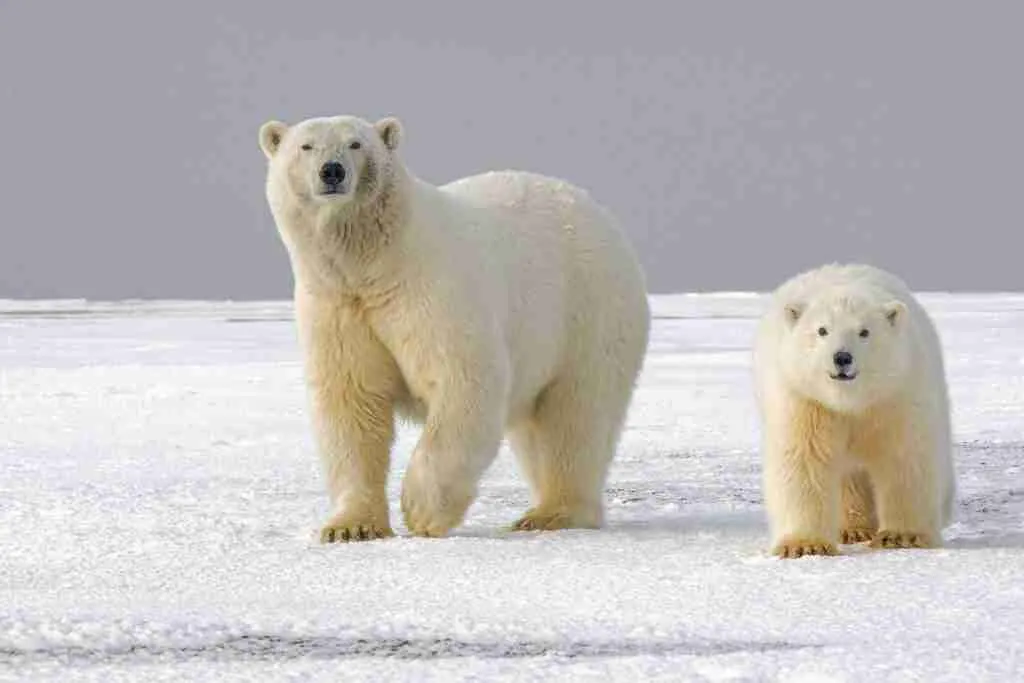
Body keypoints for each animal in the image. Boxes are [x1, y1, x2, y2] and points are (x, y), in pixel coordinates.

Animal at [258, 114, 650, 542]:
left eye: (356, 144)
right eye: (306, 146)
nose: (332, 171)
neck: (376, 264)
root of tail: (596, 209)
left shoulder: (431, 292)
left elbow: (463, 382)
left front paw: (421, 511)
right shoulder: (337, 305)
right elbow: (351, 403)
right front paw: (350, 527)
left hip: (588, 310)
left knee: (575, 416)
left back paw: (552, 513)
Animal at [752, 263, 955, 558]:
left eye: (864, 332)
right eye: (822, 330)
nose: (842, 357)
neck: (851, 401)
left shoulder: (896, 395)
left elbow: (904, 457)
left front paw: (902, 536)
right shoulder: (805, 400)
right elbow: (804, 460)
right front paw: (805, 545)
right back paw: (853, 529)